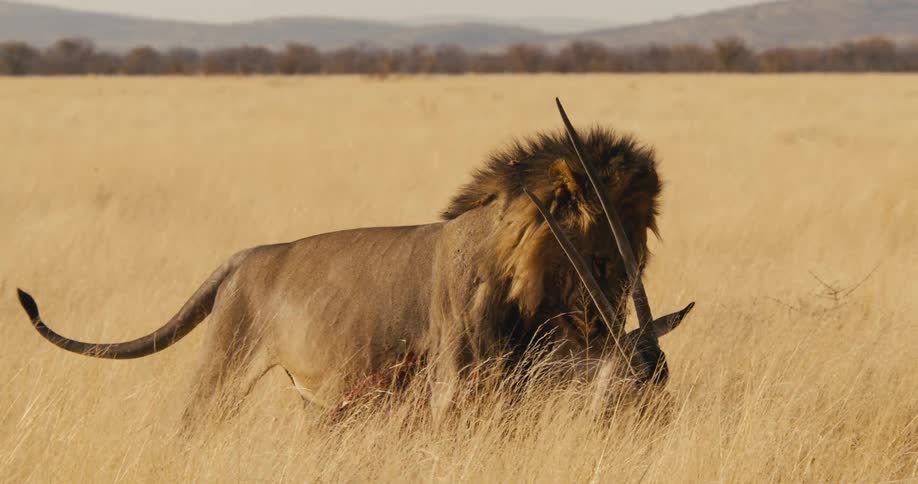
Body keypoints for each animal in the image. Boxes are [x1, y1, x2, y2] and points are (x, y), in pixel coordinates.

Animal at [16, 99, 694, 429]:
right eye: (602, 252)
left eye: (666, 384)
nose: (660, 428)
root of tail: (241, 259)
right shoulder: (451, 392)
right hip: (221, 373)